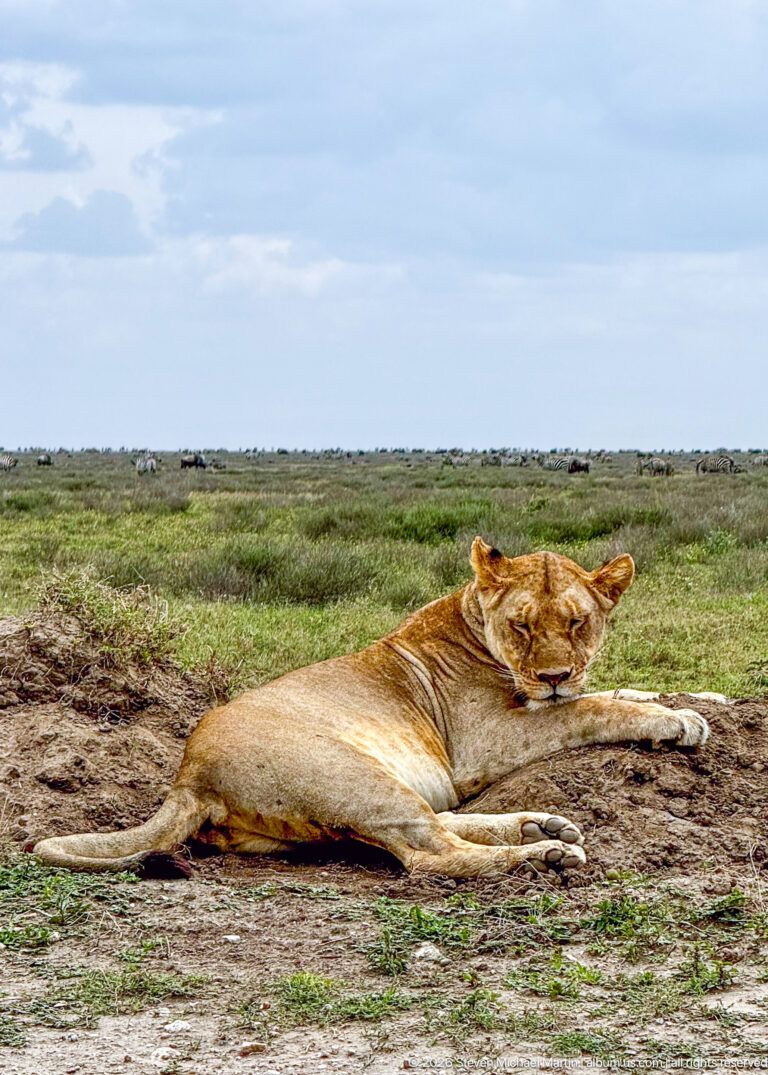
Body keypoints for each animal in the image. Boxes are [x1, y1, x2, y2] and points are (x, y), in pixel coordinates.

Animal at [33, 538, 710, 878]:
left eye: (576, 623)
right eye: (521, 625)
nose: (552, 675)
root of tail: (187, 775)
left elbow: (617, 690)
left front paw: (697, 698)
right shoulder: (486, 741)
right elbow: (589, 709)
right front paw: (677, 722)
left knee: (433, 826)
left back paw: (540, 825)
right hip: (354, 774)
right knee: (429, 855)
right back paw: (542, 853)